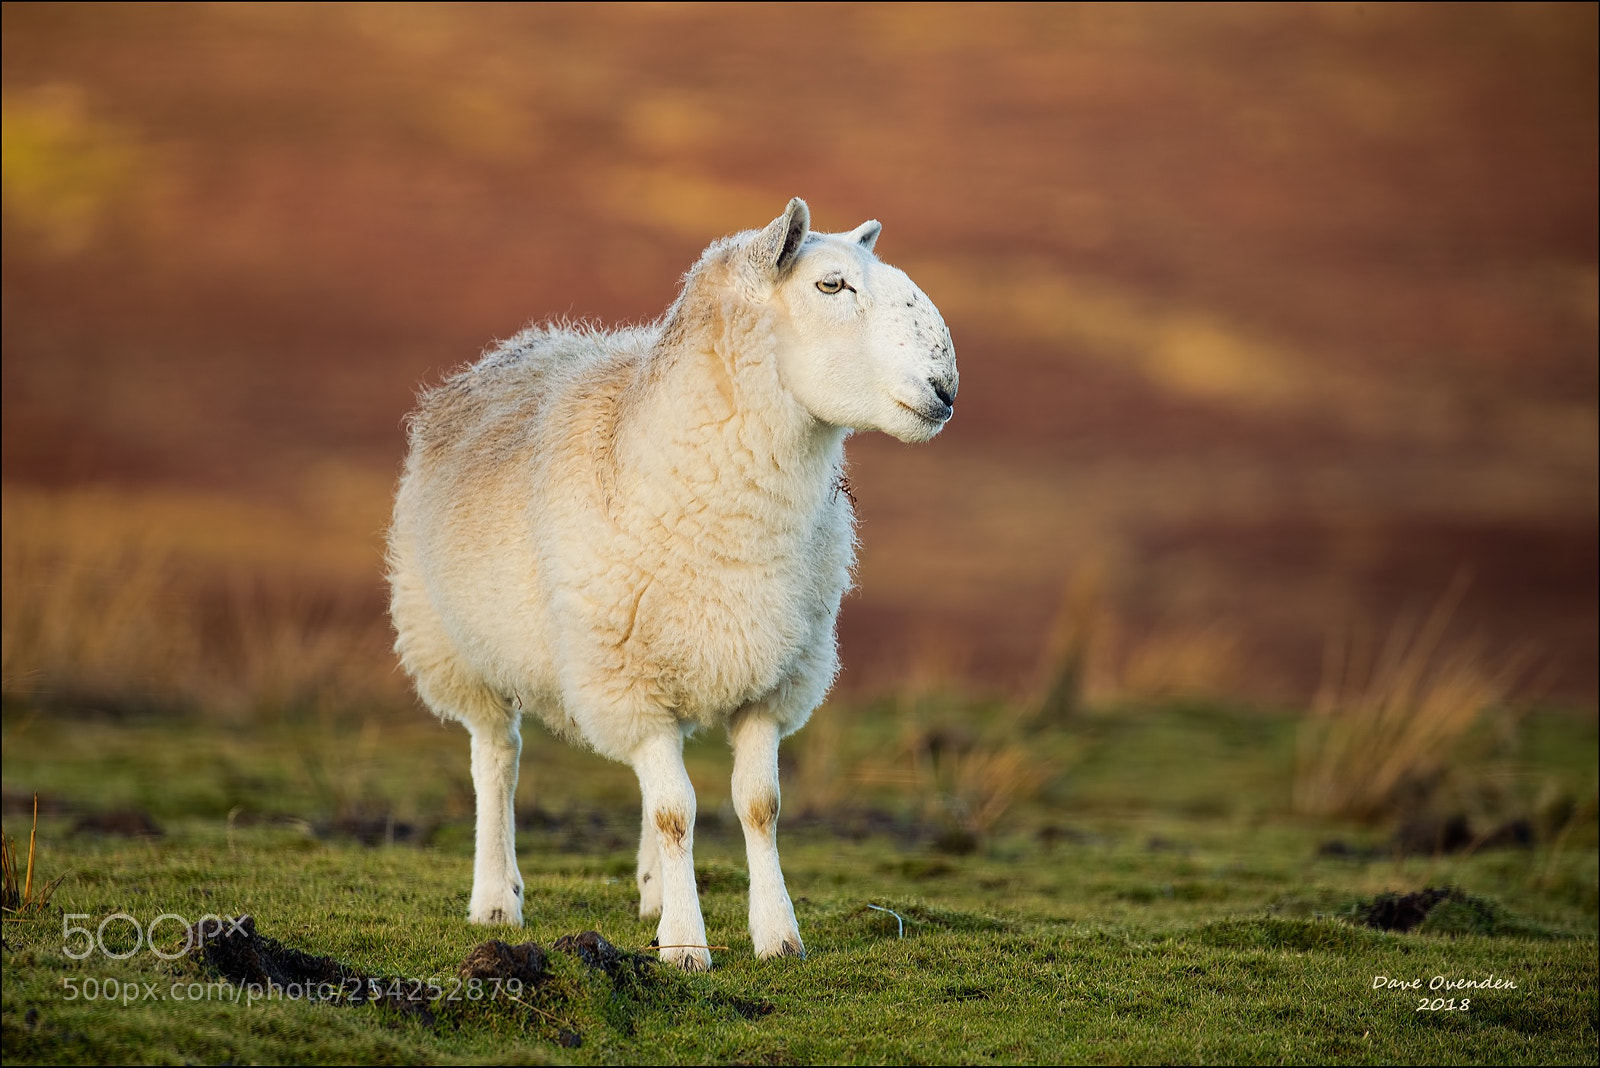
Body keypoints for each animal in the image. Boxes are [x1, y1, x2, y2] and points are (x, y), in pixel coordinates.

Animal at [386, 198, 957, 970]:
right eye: (831, 285)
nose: (946, 387)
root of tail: (518, 346)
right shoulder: (628, 674)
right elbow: (674, 811)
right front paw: (687, 945)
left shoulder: (771, 676)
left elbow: (756, 805)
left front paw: (776, 935)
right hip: (456, 647)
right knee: (497, 762)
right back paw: (497, 898)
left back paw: (655, 892)